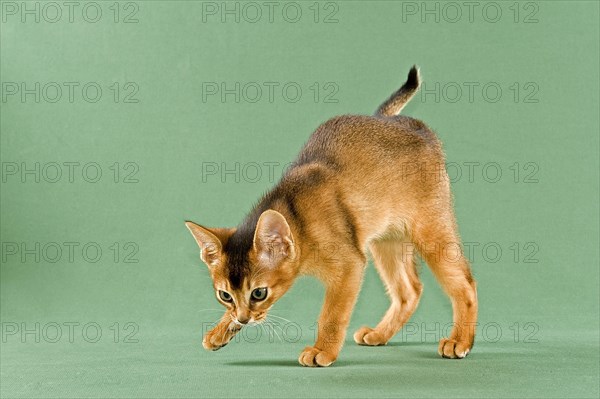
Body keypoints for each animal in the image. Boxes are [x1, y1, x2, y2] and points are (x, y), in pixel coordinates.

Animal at [186, 66, 478, 368]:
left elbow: (332, 315)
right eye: (225, 295)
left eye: (259, 293)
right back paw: (379, 334)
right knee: (410, 290)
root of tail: (398, 121)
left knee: (466, 284)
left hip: (430, 228)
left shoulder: (350, 266)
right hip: (385, 239)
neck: (297, 215)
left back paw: (459, 342)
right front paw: (221, 330)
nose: (243, 319)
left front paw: (322, 350)